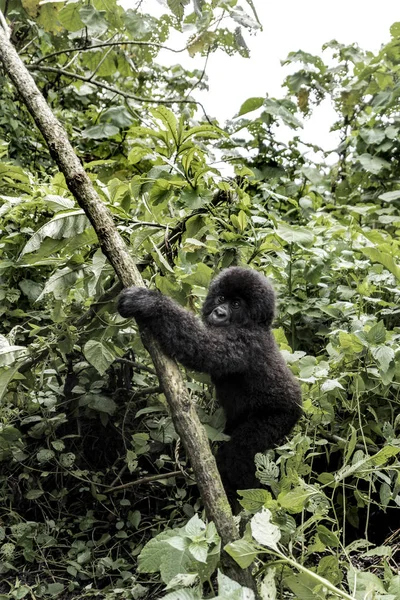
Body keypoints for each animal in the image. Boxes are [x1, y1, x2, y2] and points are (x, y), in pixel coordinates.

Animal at [117, 270, 302, 494]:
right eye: (221, 298)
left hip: (280, 416)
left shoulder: (244, 340)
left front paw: (148, 302)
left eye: (236, 304)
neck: (254, 324)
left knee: (239, 455)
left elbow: (200, 345)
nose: (219, 313)